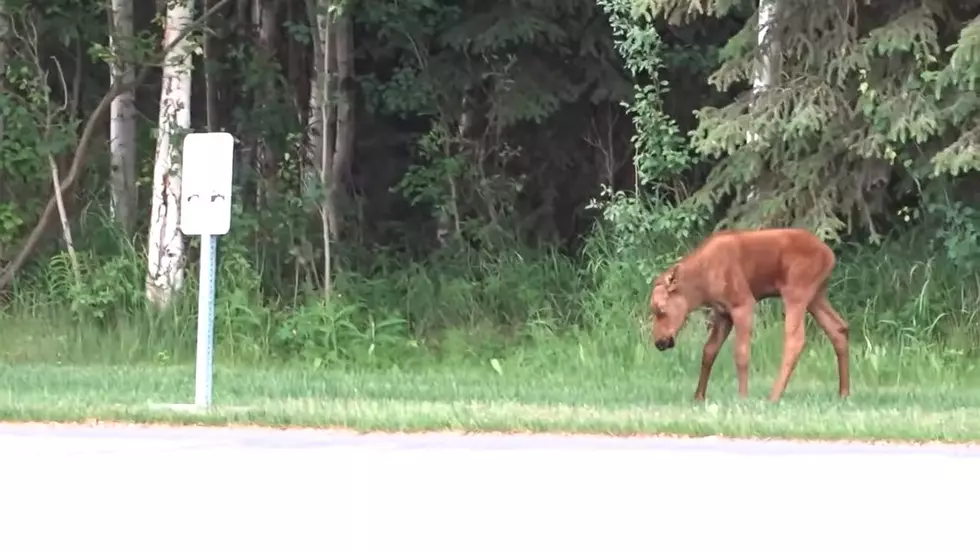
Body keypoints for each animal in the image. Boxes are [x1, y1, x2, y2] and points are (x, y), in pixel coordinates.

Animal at [648, 226, 848, 404]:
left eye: (661, 309)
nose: (659, 342)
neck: (701, 287)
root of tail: (830, 256)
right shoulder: (723, 313)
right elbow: (709, 351)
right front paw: (698, 397)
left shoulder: (742, 305)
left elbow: (741, 353)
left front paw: (743, 396)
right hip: (816, 296)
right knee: (839, 328)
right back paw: (844, 392)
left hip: (796, 292)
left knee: (795, 339)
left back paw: (774, 396)